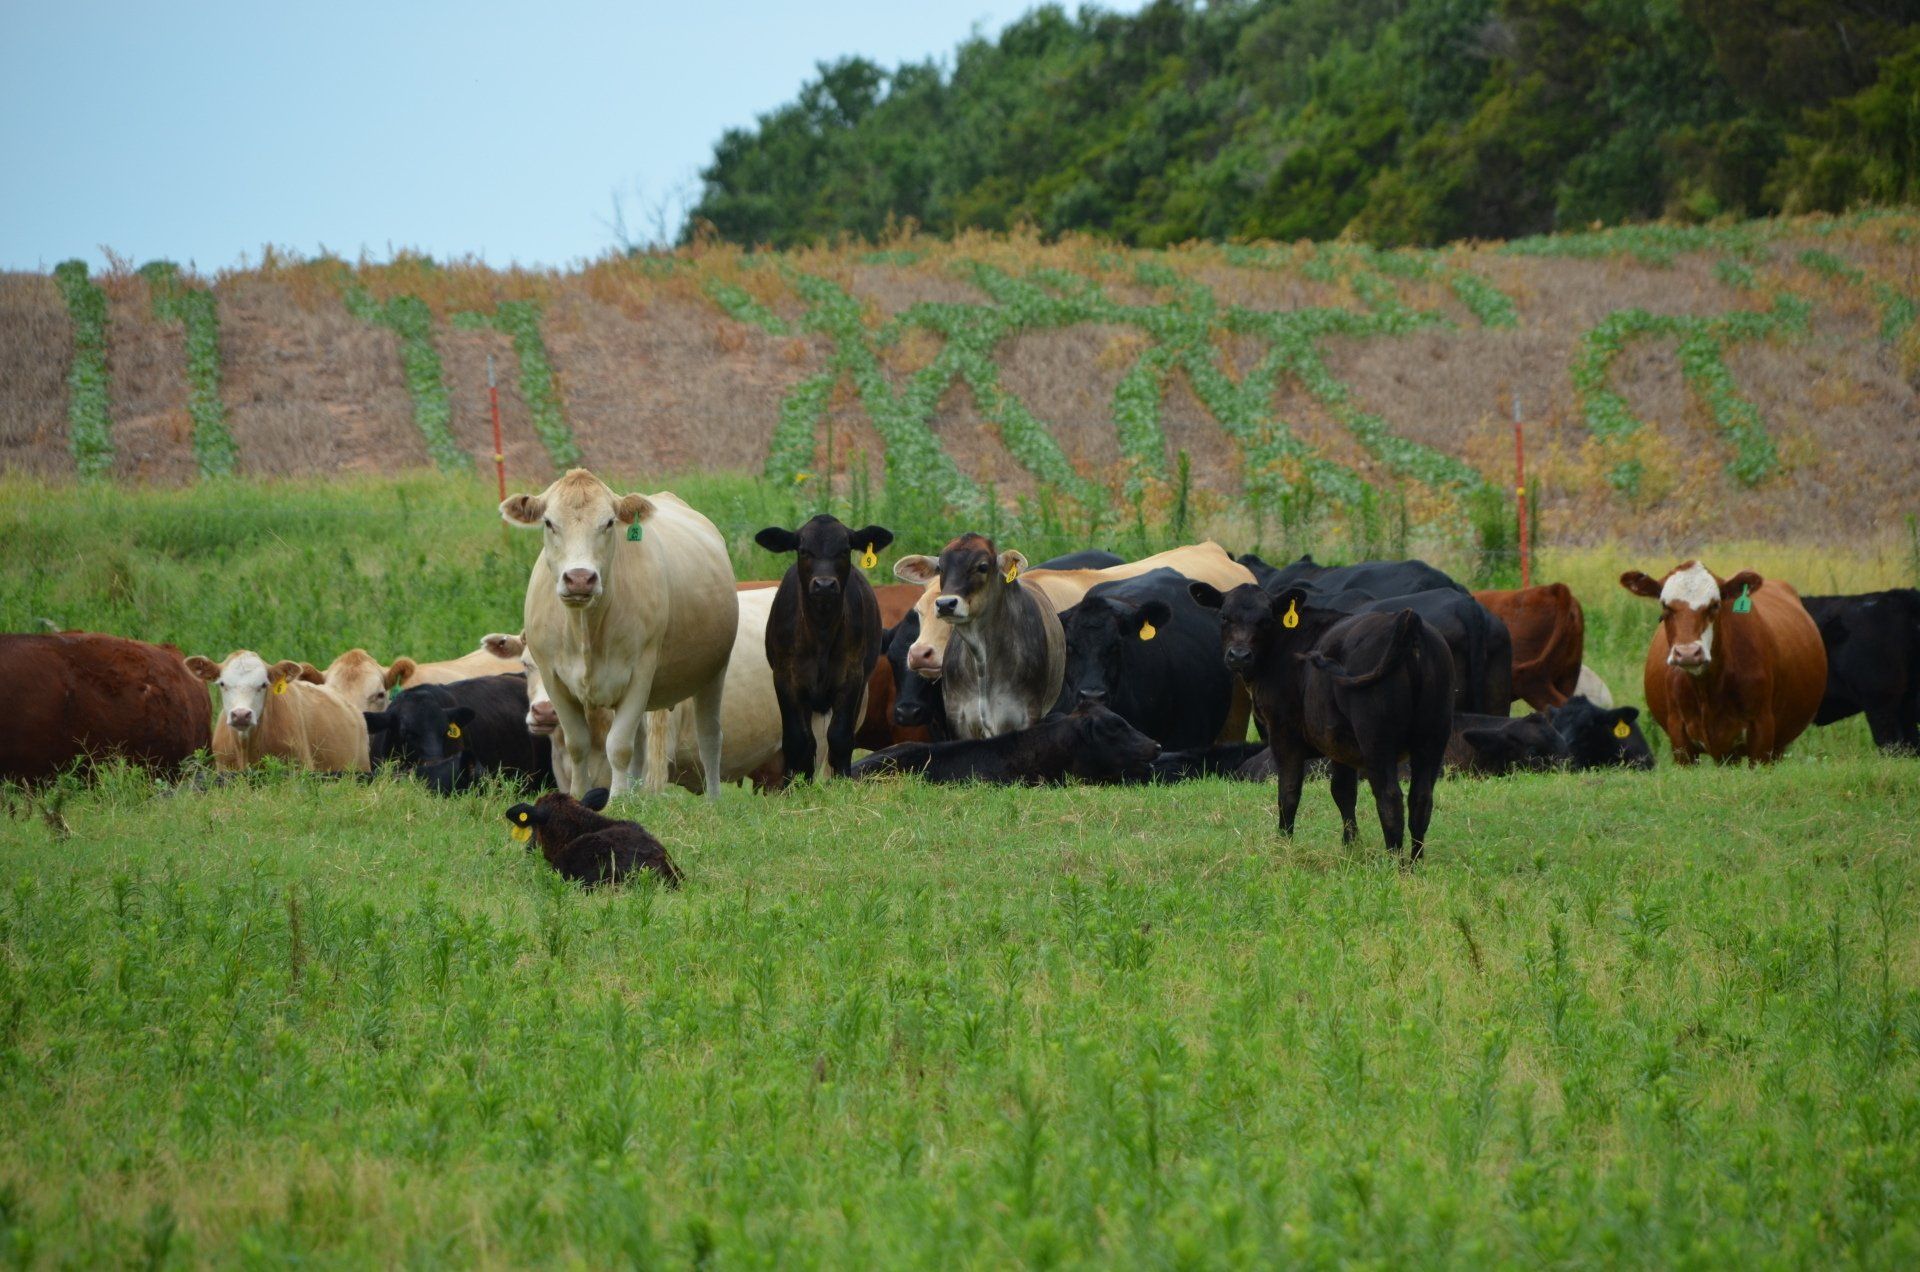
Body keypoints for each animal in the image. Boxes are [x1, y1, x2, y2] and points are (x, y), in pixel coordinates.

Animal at [503, 470, 737, 797]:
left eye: (609, 522)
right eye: (549, 523)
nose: (579, 578)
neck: (585, 628)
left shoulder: (641, 672)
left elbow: (619, 747)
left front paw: (616, 800)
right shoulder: (554, 680)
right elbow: (579, 745)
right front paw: (579, 797)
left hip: (713, 671)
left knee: (710, 737)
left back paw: (713, 800)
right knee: (640, 745)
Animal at [754, 514, 894, 781]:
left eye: (844, 550)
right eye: (804, 550)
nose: (825, 585)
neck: (820, 632)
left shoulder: (851, 677)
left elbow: (839, 736)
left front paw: (842, 781)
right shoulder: (786, 679)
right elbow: (798, 740)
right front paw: (796, 784)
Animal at [893, 533, 1065, 739]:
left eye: (982, 567)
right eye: (940, 568)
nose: (945, 604)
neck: (981, 658)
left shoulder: (1025, 715)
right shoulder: (957, 718)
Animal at [1192, 583, 1452, 861]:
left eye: (1265, 620)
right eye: (1224, 617)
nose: (1239, 655)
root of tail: (1407, 619)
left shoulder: (1284, 734)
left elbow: (1289, 791)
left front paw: (1283, 844)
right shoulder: (1338, 743)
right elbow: (1343, 791)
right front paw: (1350, 847)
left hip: (1377, 740)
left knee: (1390, 798)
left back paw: (1395, 864)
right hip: (1432, 738)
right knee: (1421, 799)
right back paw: (1414, 863)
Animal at [1619, 560, 1827, 764]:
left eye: (1714, 605)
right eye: (1665, 606)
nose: (1688, 653)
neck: (1707, 688)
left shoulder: (1763, 733)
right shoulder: (1679, 738)